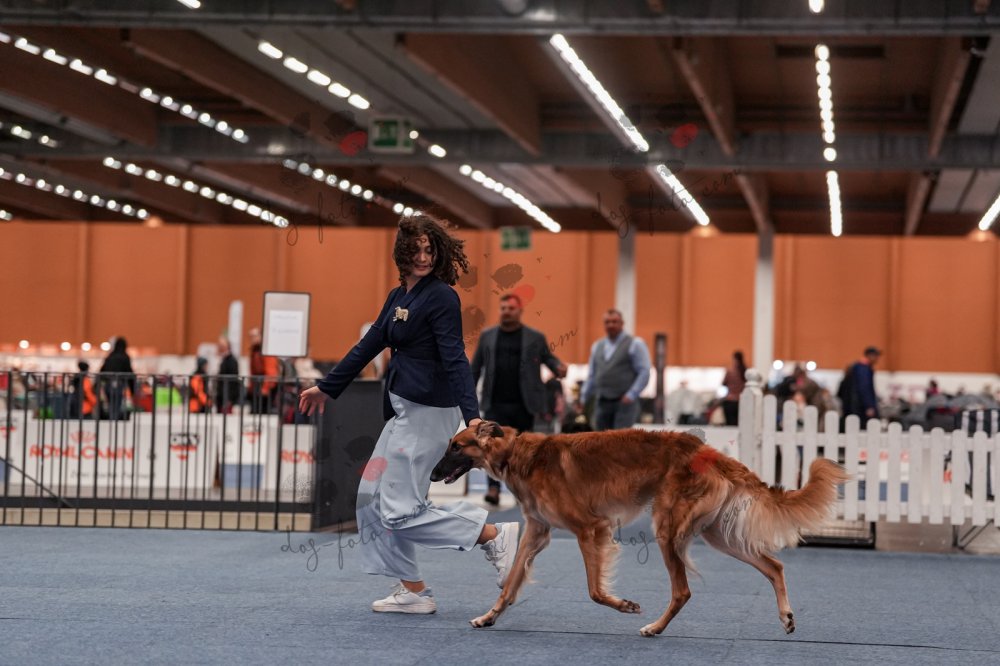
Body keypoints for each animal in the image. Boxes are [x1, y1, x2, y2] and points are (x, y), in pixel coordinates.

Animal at [430, 422, 849, 637]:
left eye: (456, 446)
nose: (432, 475)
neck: (522, 455)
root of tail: (707, 451)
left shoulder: (590, 528)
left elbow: (595, 590)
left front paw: (625, 605)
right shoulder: (538, 531)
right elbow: (512, 582)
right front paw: (489, 616)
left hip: (668, 529)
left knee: (683, 591)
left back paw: (655, 626)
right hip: (715, 534)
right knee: (774, 566)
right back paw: (786, 616)